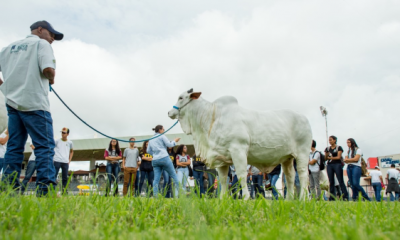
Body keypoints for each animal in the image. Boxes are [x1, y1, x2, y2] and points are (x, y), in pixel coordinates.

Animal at [168, 89, 312, 200]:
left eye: (181, 97)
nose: (169, 112)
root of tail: (304, 118)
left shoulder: (238, 150)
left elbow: (242, 174)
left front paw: (245, 198)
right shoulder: (221, 158)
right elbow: (223, 179)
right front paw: (222, 199)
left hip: (303, 152)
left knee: (303, 174)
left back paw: (303, 198)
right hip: (287, 157)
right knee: (290, 176)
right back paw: (289, 200)